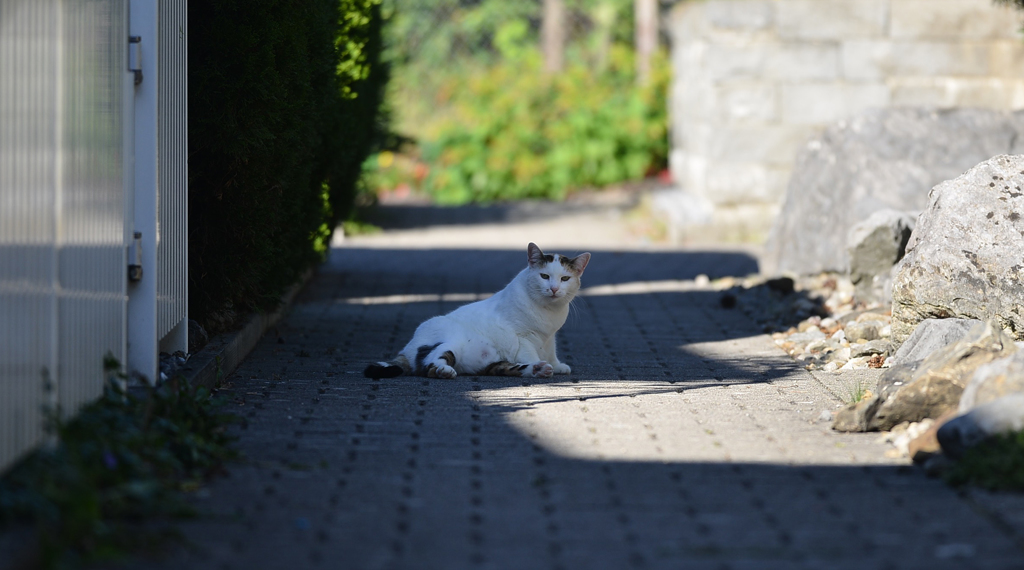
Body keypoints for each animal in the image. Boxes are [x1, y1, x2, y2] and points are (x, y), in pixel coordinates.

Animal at [366, 241, 593, 378]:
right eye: (544, 276)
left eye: (565, 279)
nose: (553, 289)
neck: (548, 311)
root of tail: (406, 348)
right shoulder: (523, 338)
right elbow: (530, 353)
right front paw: (544, 363)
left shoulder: (549, 337)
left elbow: (551, 351)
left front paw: (556, 365)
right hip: (450, 342)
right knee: (429, 365)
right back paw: (443, 371)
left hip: (491, 363)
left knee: (507, 369)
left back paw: (539, 369)